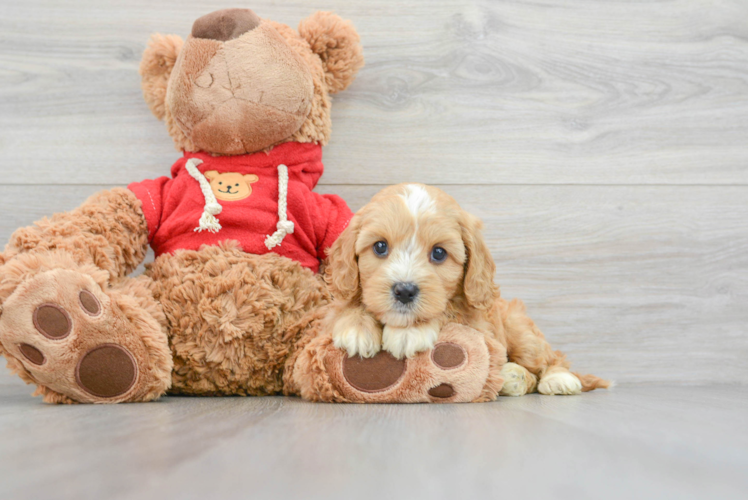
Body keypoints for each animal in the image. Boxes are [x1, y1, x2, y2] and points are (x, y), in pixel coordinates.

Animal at [326, 182, 608, 396]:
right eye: (380, 247)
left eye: (439, 253)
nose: (404, 291)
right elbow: (350, 304)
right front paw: (357, 327)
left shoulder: (477, 324)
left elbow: (447, 311)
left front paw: (410, 332)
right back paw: (512, 377)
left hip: (521, 331)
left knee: (550, 358)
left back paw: (557, 379)